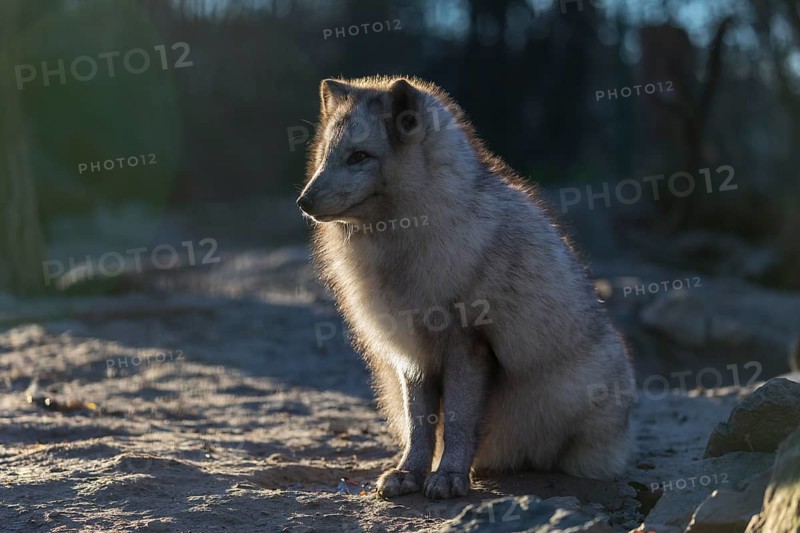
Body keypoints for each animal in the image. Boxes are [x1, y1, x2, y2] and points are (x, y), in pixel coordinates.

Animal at [296, 75, 635, 500]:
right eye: (327, 154)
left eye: (359, 157)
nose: (303, 201)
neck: (399, 240)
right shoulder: (412, 353)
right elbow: (420, 423)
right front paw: (409, 472)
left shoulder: (466, 343)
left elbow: (457, 420)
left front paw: (449, 476)